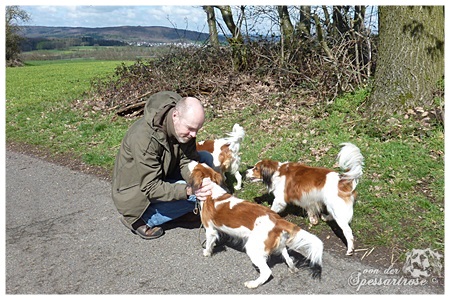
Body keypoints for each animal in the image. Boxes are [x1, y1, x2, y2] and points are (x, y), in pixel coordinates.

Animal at [188, 162, 322, 288]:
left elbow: (209, 243)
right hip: (278, 244)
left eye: (196, 166)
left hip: (253, 248)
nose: (189, 162)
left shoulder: (210, 229)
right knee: (287, 256)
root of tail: (277, 219)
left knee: (267, 272)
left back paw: (253, 284)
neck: (211, 191)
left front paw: (207, 252)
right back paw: (293, 268)